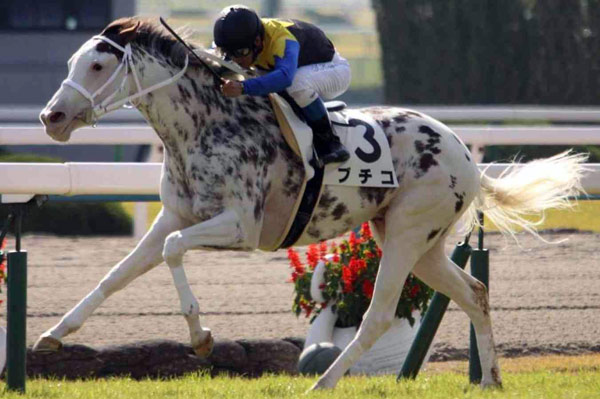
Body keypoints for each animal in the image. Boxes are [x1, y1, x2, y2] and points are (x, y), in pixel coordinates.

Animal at [35, 18, 584, 390]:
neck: (207, 123)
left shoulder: (242, 227)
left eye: (99, 65)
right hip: (416, 241)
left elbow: (173, 250)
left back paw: (324, 382)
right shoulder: (177, 213)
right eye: (72, 63)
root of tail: (462, 150)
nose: (51, 117)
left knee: (378, 315)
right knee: (474, 293)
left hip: (408, 234)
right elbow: (118, 274)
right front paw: (54, 335)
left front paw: (201, 336)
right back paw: (490, 378)